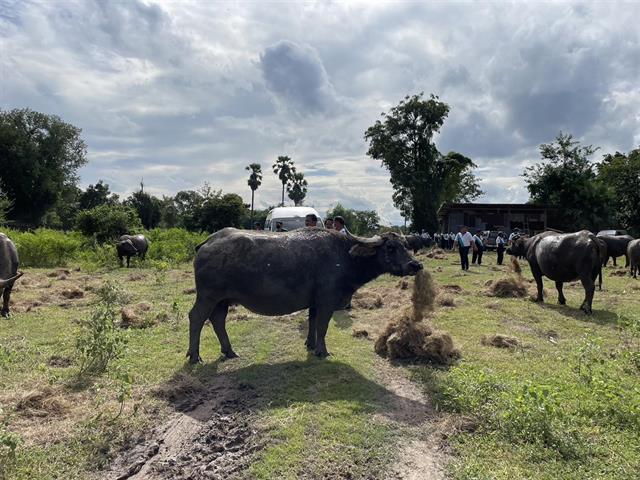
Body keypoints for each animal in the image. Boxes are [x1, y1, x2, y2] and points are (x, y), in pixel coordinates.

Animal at [188, 227, 422, 362]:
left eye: (406, 245)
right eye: (390, 247)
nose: (415, 265)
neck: (345, 257)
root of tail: (207, 242)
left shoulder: (315, 302)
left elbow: (312, 322)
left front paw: (310, 344)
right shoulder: (327, 300)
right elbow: (322, 326)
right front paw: (322, 351)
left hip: (222, 300)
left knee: (218, 320)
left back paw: (229, 351)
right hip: (208, 297)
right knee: (196, 318)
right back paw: (194, 356)